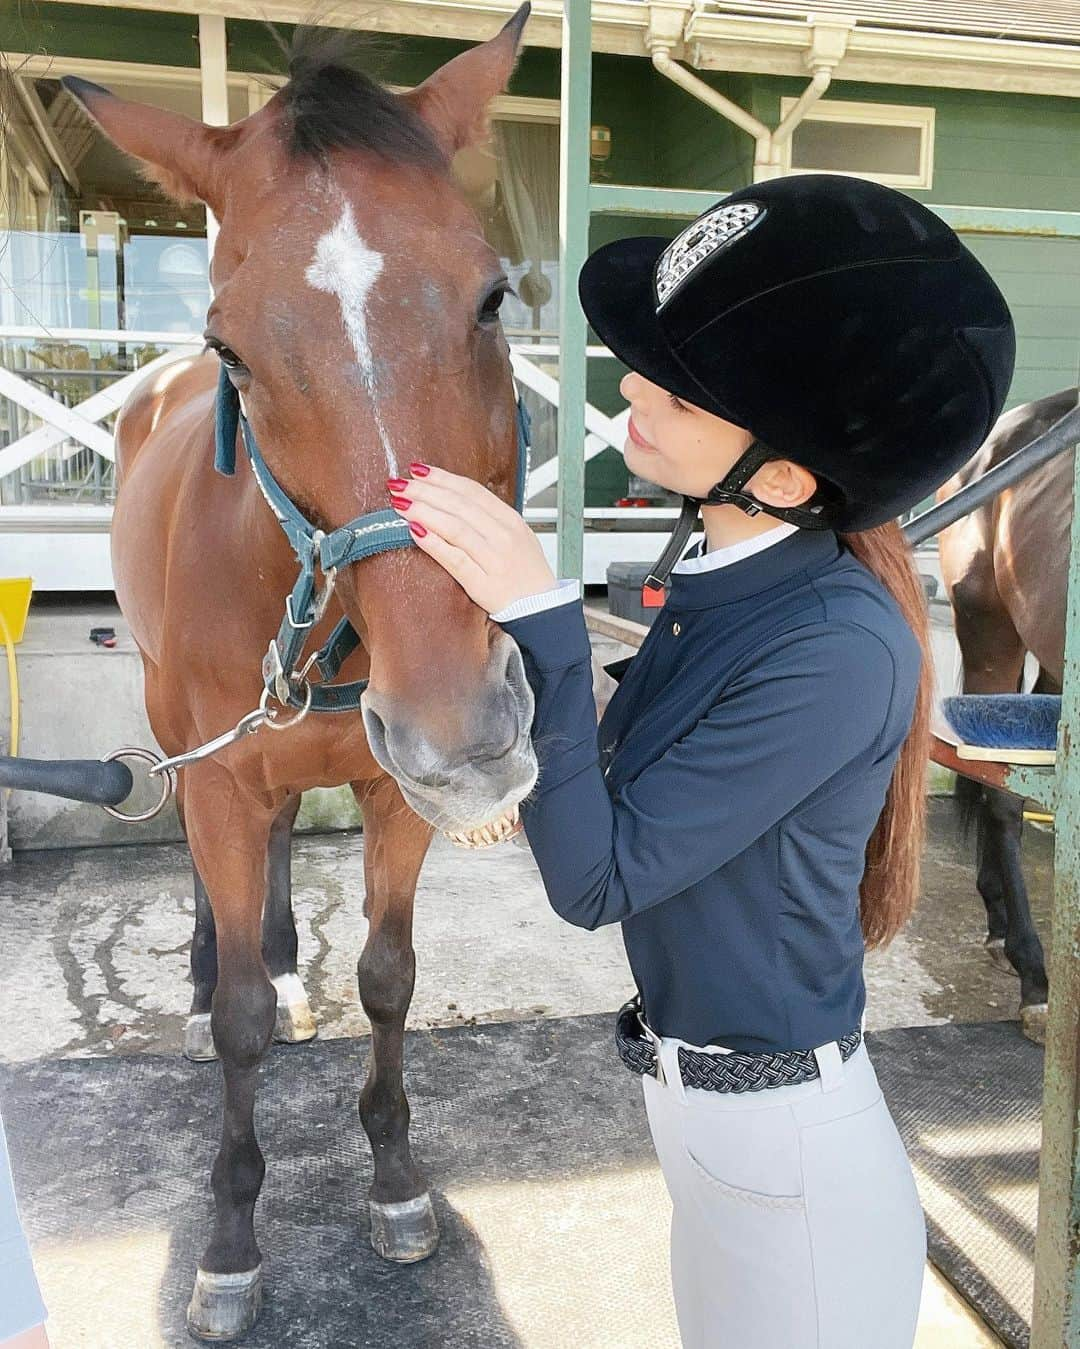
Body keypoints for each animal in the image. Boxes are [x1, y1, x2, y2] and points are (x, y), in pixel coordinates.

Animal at [56, 7, 536, 1338]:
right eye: (232, 346)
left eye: (492, 296)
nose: (464, 733)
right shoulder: (221, 780)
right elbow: (239, 1026)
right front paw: (230, 1240)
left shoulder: (392, 794)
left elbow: (388, 976)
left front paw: (395, 1178)